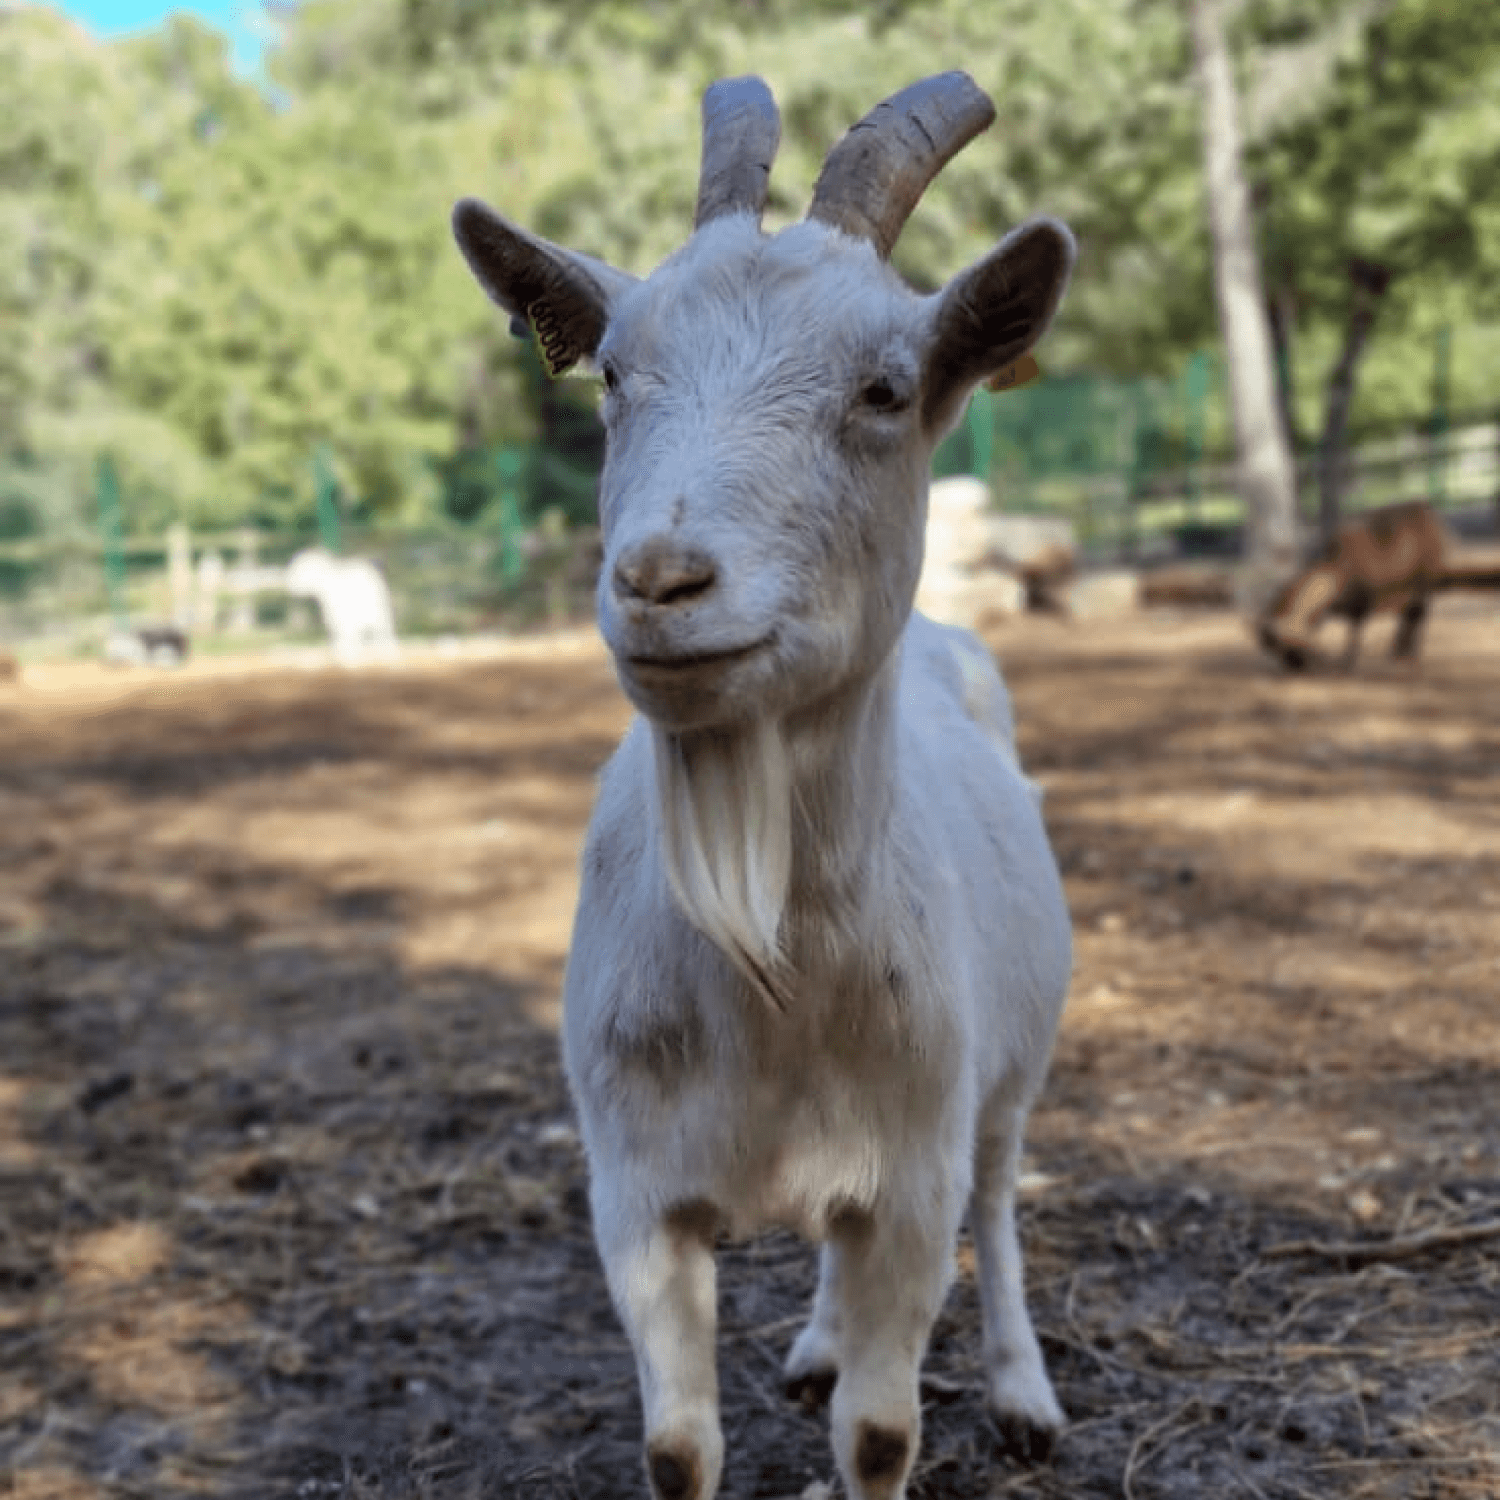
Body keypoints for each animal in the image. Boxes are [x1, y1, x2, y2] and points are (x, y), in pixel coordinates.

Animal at [453, 74, 1075, 1500]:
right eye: (613, 373)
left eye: (886, 387)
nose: (660, 581)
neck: (766, 986)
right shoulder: (634, 1193)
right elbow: (678, 1446)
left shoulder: (912, 1171)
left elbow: (884, 1429)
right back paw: (817, 1341)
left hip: (1010, 1067)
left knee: (1002, 1197)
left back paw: (1023, 1393)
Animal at [1256, 500, 1500, 670]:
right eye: (1273, 647)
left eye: (1286, 648)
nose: (1296, 667)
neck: (1339, 567)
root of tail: (1427, 512)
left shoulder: (1361, 605)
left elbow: (1355, 633)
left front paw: (1347, 662)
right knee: (1410, 617)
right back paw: (1398, 652)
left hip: (1425, 585)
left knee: (1418, 617)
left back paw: (1408, 654)